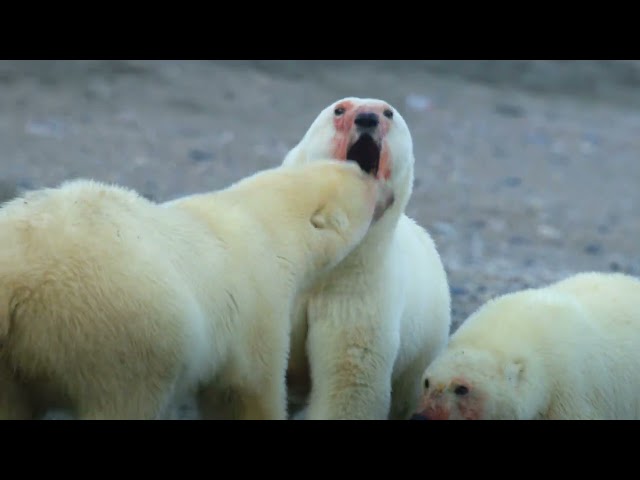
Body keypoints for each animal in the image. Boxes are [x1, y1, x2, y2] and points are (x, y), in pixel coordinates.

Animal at [0, 159, 396, 418]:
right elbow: (248, 389)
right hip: (116, 334)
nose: (389, 190)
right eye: (366, 179)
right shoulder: (260, 304)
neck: (262, 221)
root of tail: (17, 277)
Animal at [282, 95, 452, 418]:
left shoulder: (357, 293)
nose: (367, 119)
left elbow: (350, 380)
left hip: (423, 347)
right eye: (339, 109)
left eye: (388, 113)